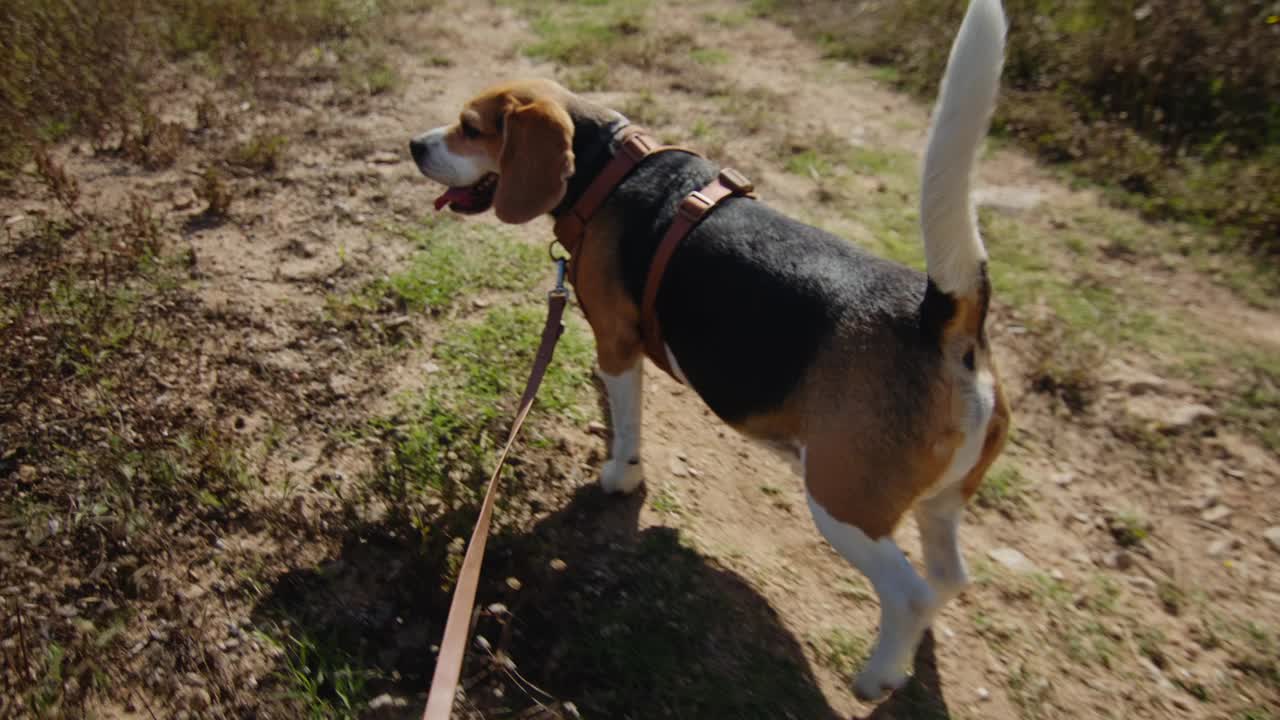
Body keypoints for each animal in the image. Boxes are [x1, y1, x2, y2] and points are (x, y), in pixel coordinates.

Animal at [409, 0, 1008, 696]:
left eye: (471, 128)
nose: (415, 145)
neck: (610, 169)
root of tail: (943, 319)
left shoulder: (617, 344)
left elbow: (627, 424)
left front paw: (620, 476)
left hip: (842, 503)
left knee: (908, 593)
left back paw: (880, 674)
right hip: (942, 502)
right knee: (949, 578)